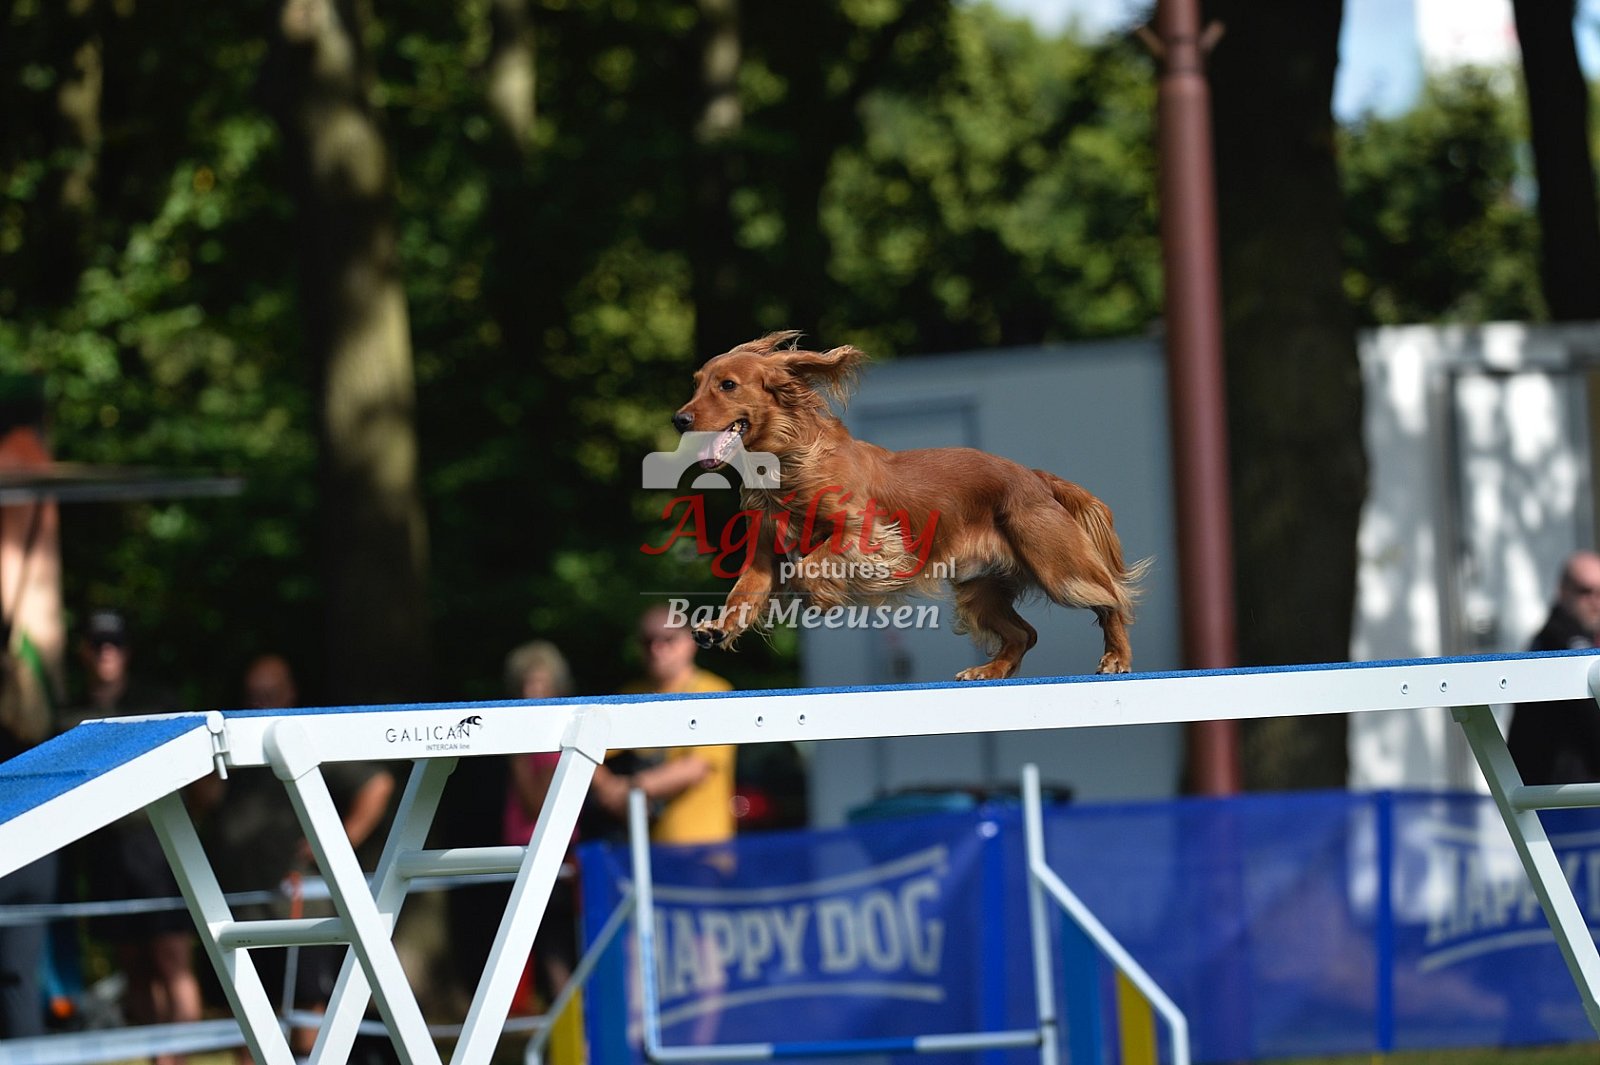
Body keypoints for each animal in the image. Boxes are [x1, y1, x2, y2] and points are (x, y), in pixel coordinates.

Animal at [670, 332, 1150, 679]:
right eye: (696, 383)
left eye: (728, 385)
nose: (679, 419)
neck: (791, 461)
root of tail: (1034, 476)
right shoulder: (764, 555)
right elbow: (743, 594)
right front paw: (716, 628)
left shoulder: (870, 535)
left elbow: (809, 564)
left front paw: (817, 595)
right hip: (980, 588)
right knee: (1024, 633)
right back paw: (988, 670)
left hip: (1057, 566)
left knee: (1111, 598)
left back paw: (1116, 659)